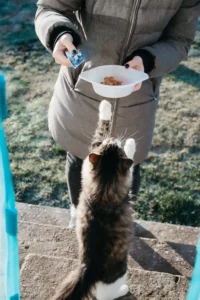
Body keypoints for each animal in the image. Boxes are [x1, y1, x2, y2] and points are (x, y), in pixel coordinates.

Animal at [51, 99, 136, 298]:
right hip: (121, 272)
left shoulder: (89, 160)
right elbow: (129, 159)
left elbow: (100, 130)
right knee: (105, 294)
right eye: (114, 146)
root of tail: (88, 268)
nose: (113, 139)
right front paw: (130, 143)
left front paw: (105, 105)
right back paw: (123, 290)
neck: (103, 190)